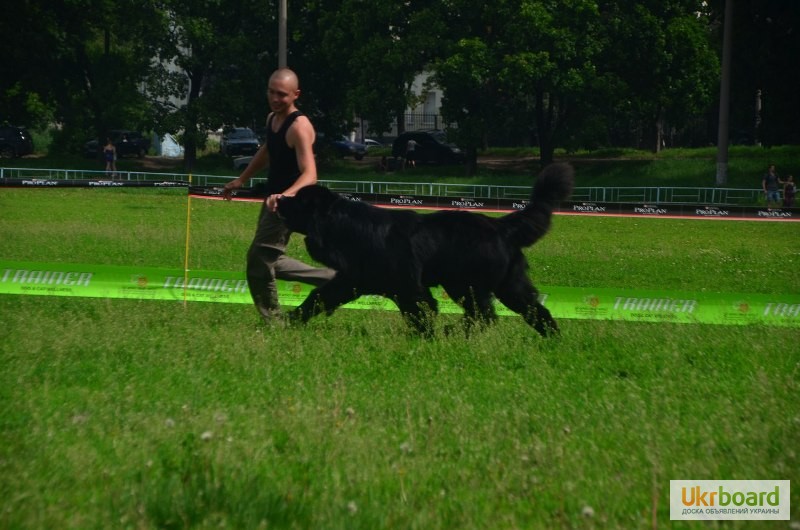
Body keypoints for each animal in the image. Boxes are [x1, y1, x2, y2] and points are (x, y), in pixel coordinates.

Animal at [278, 162, 572, 334]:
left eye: (298, 201)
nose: (279, 198)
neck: (347, 229)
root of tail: (501, 225)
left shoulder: (409, 287)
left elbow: (420, 311)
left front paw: (425, 338)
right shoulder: (351, 279)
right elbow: (317, 297)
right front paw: (290, 320)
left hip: (464, 284)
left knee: (483, 314)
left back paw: (454, 332)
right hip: (509, 285)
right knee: (533, 310)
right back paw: (552, 339)